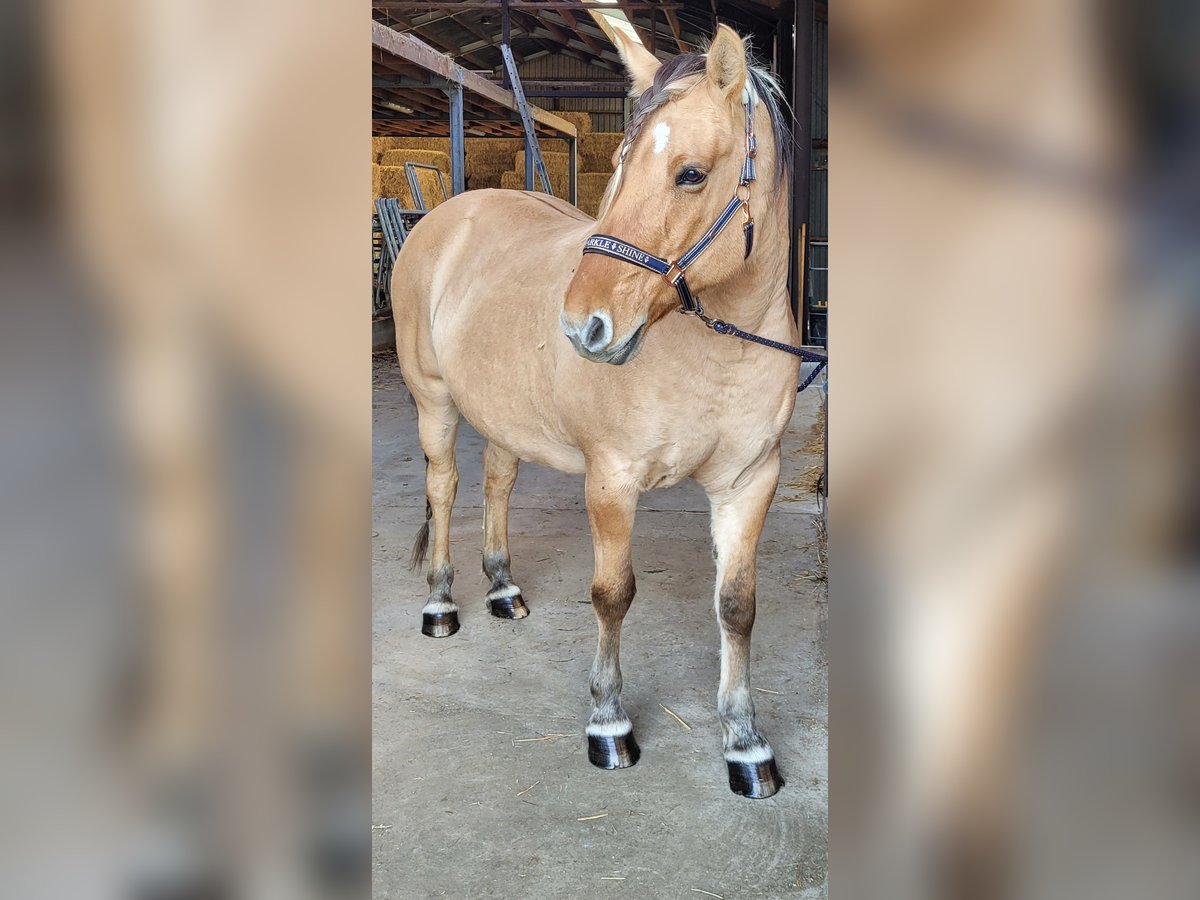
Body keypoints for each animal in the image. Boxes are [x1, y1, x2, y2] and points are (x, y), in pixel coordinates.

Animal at [393, 21, 801, 801]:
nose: (584, 326)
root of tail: (447, 216)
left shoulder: (750, 482)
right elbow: (613, 593)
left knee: (497, 483)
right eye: (620, 162)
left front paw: (746, 745)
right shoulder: (611, 480)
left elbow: (738, 606)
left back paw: (503, 588)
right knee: (445, 487)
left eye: (691, 174)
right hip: (433, 401)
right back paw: (440, 606)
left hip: (503, 416)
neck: (717, 348)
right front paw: (609, 724)